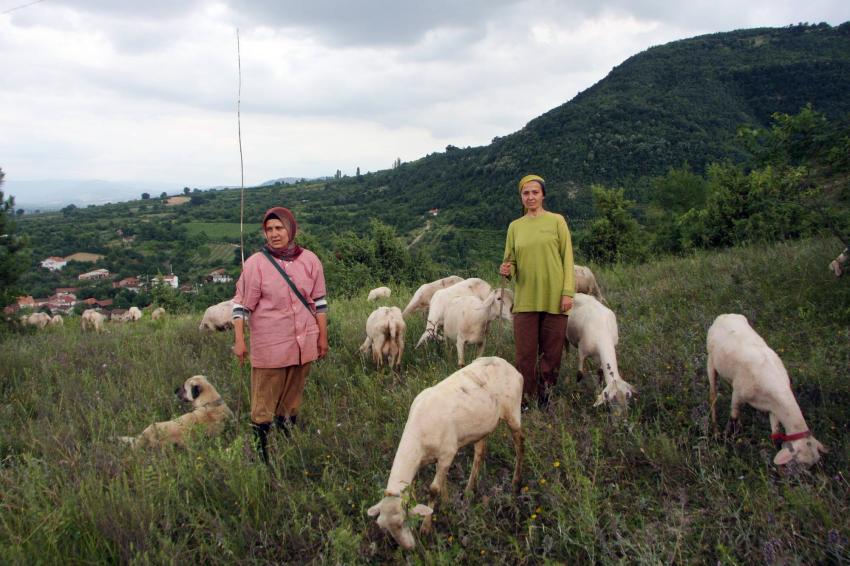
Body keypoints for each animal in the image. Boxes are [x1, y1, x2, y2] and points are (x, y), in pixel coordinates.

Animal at [366, 360, 520, 552]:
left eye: (403, 522)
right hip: (482, 427)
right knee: (480, 452)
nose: (409, 548)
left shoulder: (447, 453)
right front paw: (447, 503)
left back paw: (515, 482)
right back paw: (469, 490)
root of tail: (507, 364)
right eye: (384, 527)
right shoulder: (432, 459)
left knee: (520, 445)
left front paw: (426, 527)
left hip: (513, 413)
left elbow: (434, 489)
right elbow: (441, 483)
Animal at [704, 312, 824, 468]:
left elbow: (776, 433)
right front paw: (727, 438)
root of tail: (724, 315)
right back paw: (715, 430)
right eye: (802, 464)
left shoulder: (774, 409)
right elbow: (733, 418)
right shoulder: (738, 394)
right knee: (713, 397)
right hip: (711, 362)